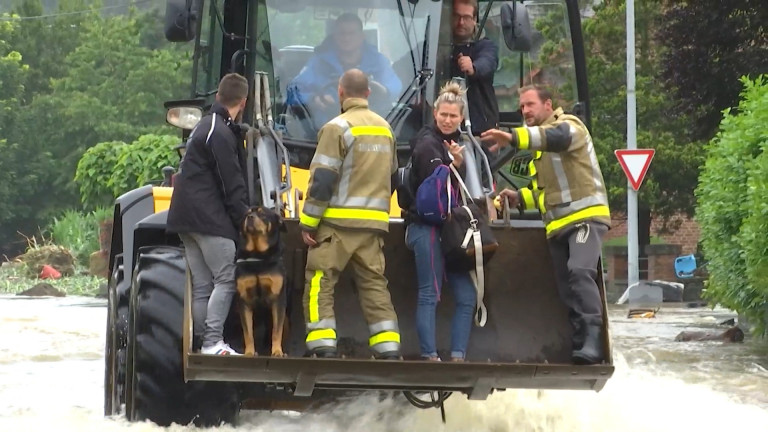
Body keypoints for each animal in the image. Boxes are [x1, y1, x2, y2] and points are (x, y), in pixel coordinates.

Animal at [236, 208, 286, 356]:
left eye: (263, 214)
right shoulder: (244, 301)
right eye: (246, 214)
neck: (258, 255)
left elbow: (276, 331)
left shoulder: (278, 300)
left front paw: (277, 351)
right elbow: (248, 333)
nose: (250, 217)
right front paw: (249, 352)